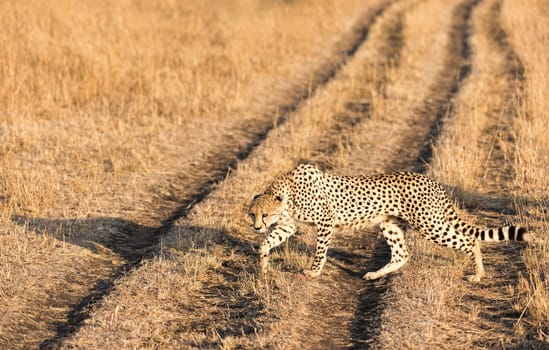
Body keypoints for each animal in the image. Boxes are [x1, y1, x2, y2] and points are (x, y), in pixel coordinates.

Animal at [248, 164, 528, 282]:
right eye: (253, 215)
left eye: (264, 215)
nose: (256, 227)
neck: (287, 192)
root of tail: (431, 180)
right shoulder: (288, 225)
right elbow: (267, 243)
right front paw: (263, 266)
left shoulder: (326, 222)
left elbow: (320, 251)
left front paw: (313, 272)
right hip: (390, 224)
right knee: (402, 254)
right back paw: (374, 274)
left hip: (430, 224)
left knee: (470, 240)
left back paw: (478, 275)